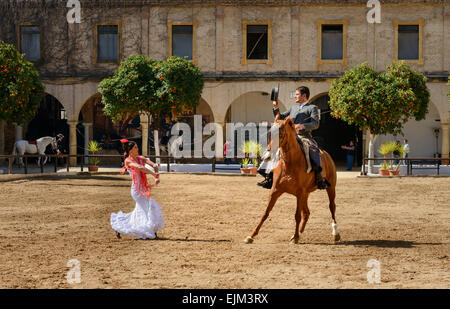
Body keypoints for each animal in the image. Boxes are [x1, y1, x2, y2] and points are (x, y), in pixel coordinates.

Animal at [244, 115, 340, 243]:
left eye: (280, 134)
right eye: (269, 134)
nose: (267, 156)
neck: (289, 163)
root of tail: (327, 155)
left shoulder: (299, 193)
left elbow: (297, 215)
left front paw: (295, 238)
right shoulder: (275, 190)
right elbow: (266, 213)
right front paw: (251, 236)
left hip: (330, 188)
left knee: (331, 207)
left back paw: (335, 233)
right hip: (306, 194)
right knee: (306, 213)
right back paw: (299, 233)